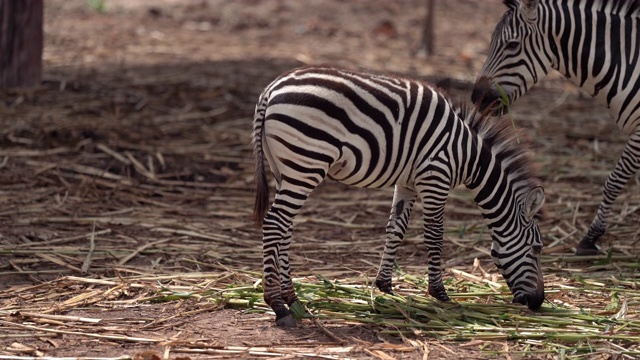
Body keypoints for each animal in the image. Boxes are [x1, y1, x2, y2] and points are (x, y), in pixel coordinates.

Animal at [252, 66, 544, 328]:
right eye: (537, 248)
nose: (539, 302)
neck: (468, 156)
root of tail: (270, 90)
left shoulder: (407, 184)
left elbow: (395, 229)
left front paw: (385, 285)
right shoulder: (435, 176)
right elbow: (434, 236)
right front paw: (440, 293)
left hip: (286, 169)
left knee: (285, 228)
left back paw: (293, 298)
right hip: (306, 163)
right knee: (275, 224)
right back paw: (278, 306)